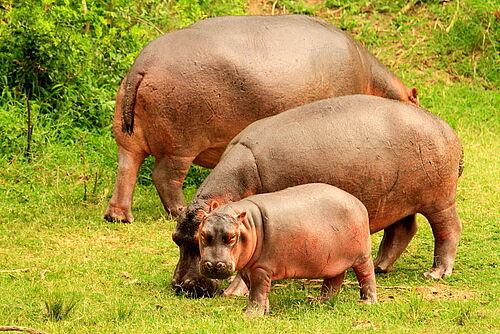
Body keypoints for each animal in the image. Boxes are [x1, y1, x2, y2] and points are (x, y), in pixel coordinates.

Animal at [104, 13, 418, 222]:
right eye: (416, 100)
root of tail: (141, 65)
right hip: (180, 145)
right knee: (165, 177)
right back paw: (178, 212)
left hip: (129, 137)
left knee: (126, 168)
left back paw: (118, 217)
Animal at [170, 94, 462, 298]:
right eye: (176, 238)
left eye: (197, 240)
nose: (180, 286)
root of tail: (447, 128)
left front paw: (233, 291)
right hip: (398, 199)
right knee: (402, 229)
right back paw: (379, 266)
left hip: (439, 200)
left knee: (448, 229)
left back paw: (435, 273)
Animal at [197, 183, 376, 316]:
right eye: (202, 233)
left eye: (232, 236)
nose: (214, 265)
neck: (248, 225)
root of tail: (357, 202)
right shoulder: (247, 268)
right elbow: (257, 291)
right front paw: (264, 312)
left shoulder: (261, 268)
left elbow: (257, 292)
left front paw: (250, 315)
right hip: (333, 260)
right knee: (334, 280)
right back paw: (318, 301)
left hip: (362, 256)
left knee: (367, 276)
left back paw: (367, 302)